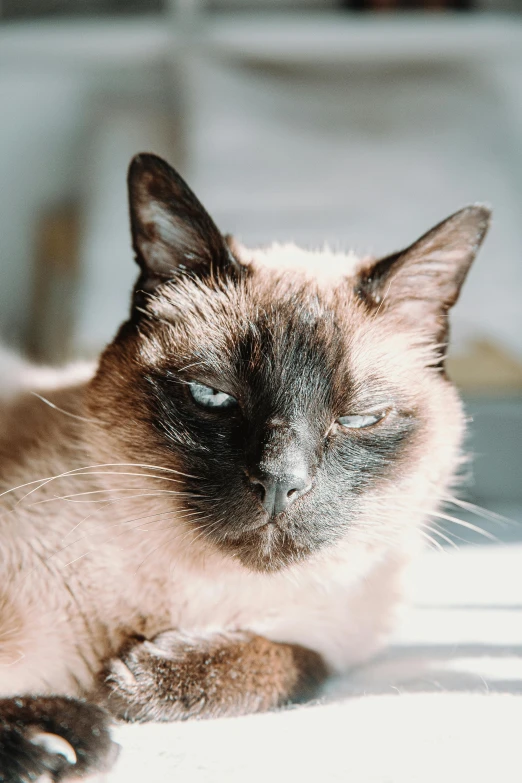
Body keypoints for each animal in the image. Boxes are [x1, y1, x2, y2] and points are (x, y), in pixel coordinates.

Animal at [0, 155, 488, 783]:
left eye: (359, 419)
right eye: (213, 396)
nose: (280, 480)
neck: (199, 597)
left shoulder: (333, 640)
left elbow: (298, 666)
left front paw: (138, 681)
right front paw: (75, 724)